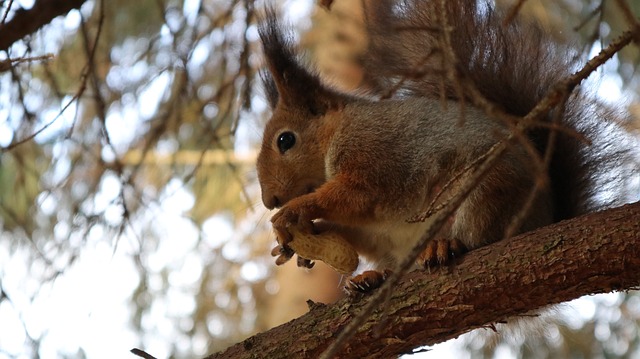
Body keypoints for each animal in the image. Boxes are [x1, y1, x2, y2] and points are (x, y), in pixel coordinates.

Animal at [256, 0, 636, 292]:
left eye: (285, 140)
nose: (269, 200)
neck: (337, 131)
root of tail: (547, 217)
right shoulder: (370, 226)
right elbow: (354, 227)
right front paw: (295, 244)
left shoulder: (374, 153)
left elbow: (357, 195)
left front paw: (294, 211)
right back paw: (372, 278)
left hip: (487, 188)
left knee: (481, 236)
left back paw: (445, 244)